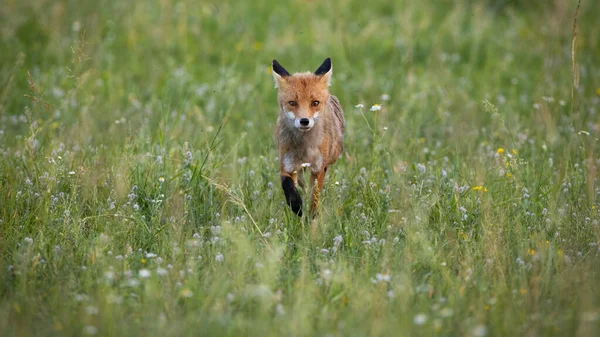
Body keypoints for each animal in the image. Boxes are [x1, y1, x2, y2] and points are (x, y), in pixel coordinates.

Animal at [270, 57, 344, 215]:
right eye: (292, 103)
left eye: (315, 103)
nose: (304, 121)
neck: (304, 148)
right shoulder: (287, 165)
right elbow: (288, 186)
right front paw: (297, 206)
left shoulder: (318, 168)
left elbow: (314, 197)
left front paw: (311, 216)